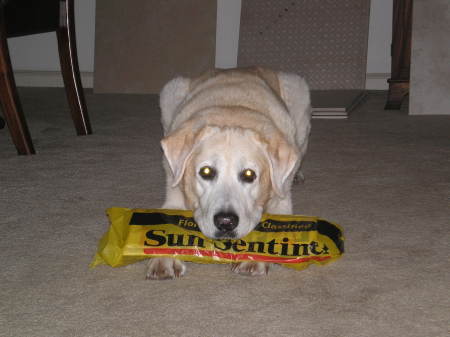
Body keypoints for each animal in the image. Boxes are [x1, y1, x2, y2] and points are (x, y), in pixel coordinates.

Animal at [146, 67, 312, 278]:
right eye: (206, 171)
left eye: (249, 175)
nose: (225, 222)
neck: (232, 111)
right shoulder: (174, 190)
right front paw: (163, 260)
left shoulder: (282, 201)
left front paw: (253, 260)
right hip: (170, 91)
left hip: (300, 95)